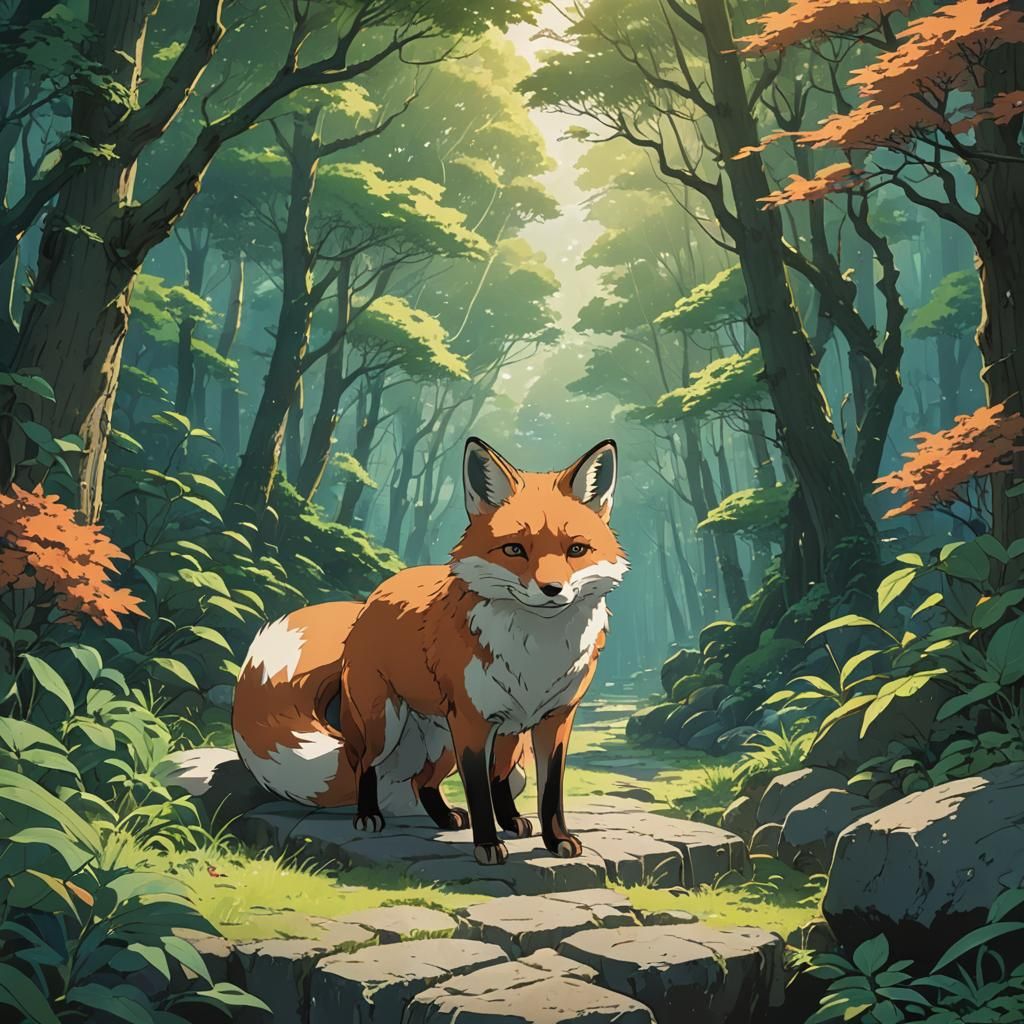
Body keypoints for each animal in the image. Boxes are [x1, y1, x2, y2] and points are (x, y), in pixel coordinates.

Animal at [232, 437, 628, 866]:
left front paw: (556, 840)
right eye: (514, 549)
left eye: (576, 550)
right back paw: (369, 816)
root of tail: (371, 599)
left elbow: (548, 793)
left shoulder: (553, 720)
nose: (553, 590)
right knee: (364, 765)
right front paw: (487, 846)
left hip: (460, 741)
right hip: (388, 727)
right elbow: (478, 793)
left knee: (433, 781)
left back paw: (473, 819)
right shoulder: (472, 723)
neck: (537, 655)